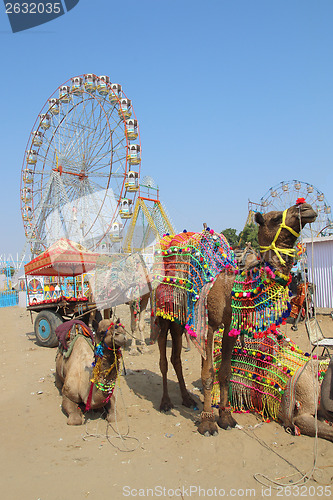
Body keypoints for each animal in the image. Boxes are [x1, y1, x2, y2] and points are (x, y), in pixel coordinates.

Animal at [150, 201, 316, 436]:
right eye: (275, 218)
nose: (306, 208)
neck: (230, 286)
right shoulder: (210, 325)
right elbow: (208, 373)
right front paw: (207, 423)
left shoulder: (229, 328)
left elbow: (225, 373)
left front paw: (226, 418)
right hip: (163, 315)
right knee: (163, 360)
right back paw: (165, 403)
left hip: (180, 321)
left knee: (176, 358)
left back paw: (187, 399)